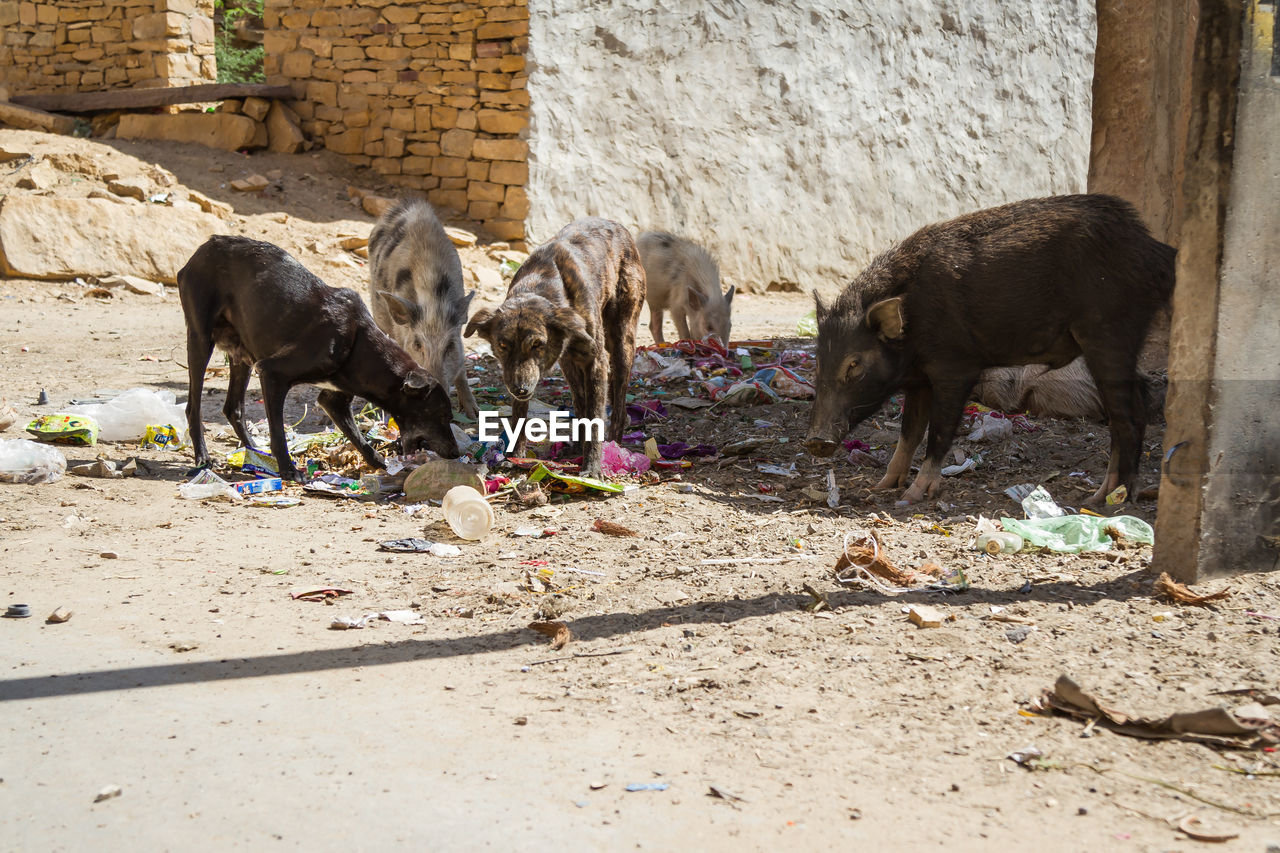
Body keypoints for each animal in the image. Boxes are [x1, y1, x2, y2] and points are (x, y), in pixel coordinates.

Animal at [177, 235, 458, 481]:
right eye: (441, 415)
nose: (456, 454)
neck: (359, 343)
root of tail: (203, 249)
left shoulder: (334, 400)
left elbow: (359, 438)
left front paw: (379, 462)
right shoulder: (272, 373)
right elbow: (278, 433)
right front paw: (289, 470)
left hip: (242, 353)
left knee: (233, 407)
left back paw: (256, 453)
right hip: (200, 340)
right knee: (193, 406)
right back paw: (203, 458)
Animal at [465, 216, 645, 473]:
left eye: (538, 344)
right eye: (502, 345)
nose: (520, 389)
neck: (542, 284)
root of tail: (618, 226)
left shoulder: (596, 362)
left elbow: (595, 418)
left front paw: (592, 467)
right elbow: (519, 414)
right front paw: (515, 455)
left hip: (622, 343)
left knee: (618, 401)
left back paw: (614, 443)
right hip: (569, 363)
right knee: (580, 400)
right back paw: (577, 444)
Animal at [803, 195, 1172, 502]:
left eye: (854, 364)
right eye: (818, 363)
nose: (816, 440)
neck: (912, 323)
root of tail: (1156, 252)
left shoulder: (956, 367)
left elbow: (939, 431)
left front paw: (912, 497)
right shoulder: (919, 380)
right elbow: (909, 432)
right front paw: (881, 488)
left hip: (1110, 333)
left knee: (1129, 416)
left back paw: (1109, 500)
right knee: (1128, 409)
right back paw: (1103, 494)